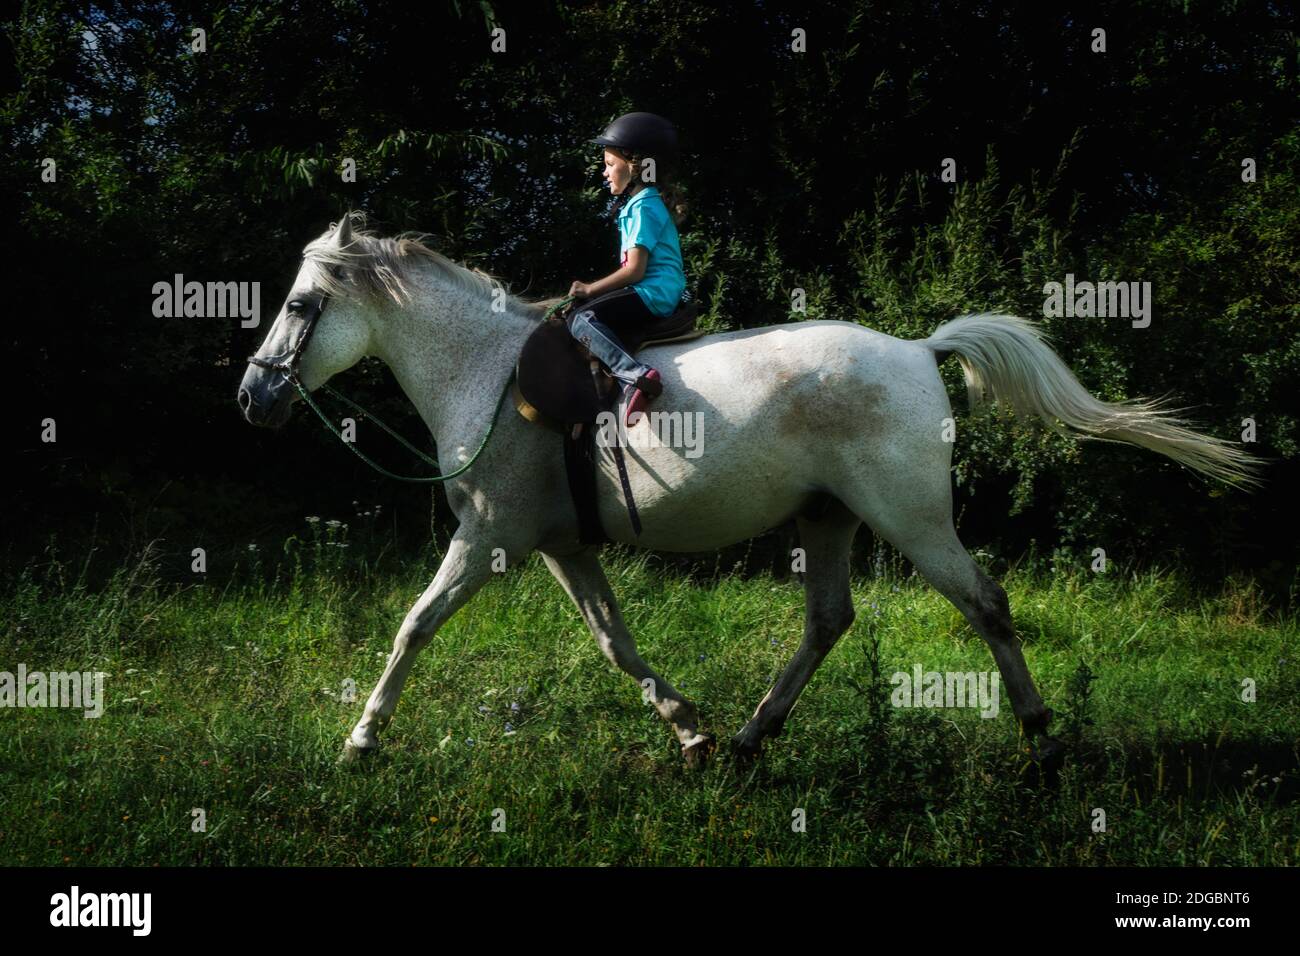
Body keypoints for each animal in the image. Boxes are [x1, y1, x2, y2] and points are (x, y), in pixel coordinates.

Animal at [238, 212, 1261, 769]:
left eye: (298, 305)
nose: (253, 397)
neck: (486, 373)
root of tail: (920, 349)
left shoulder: (490, 539)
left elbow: (414, 625)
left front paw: (362, 740)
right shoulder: (561, 547)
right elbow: (615, 641)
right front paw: (688, 729)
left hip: (912, 520)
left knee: (986, 604)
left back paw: (1043, 739)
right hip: (832, 518)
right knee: (830, 620)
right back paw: (747, 737)